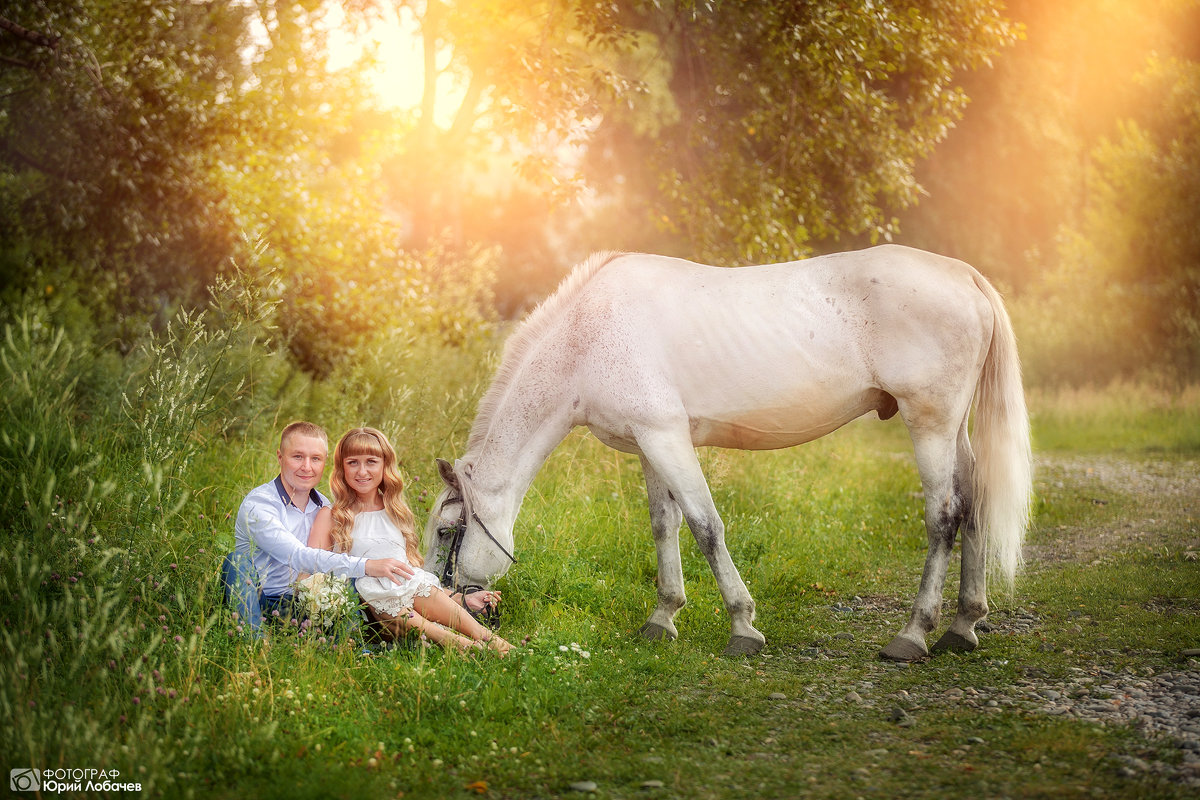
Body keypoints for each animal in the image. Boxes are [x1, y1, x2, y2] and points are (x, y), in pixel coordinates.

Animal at [424, 247, 1032, 662]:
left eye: (446, 531)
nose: (439, 598)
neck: (586, 338)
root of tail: (964, 275)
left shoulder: (666, 437)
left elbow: (705, 526)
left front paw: (742, 627)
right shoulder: (649, 444)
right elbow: (664, 526)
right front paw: (663, 617)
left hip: (930, 423)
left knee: (944, 517)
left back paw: (912, 635)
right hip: (953, 430)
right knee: (974, 504)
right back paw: (963, 626)